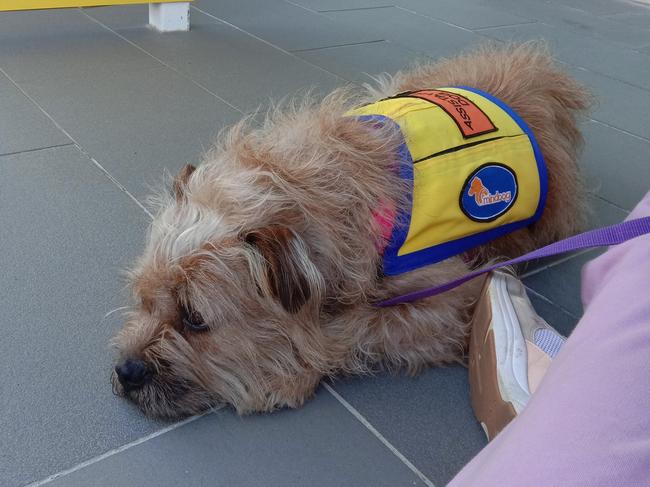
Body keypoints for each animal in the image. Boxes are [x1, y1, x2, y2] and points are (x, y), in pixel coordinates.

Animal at [110, 43, 588, 420]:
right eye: (144, 299)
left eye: (195, 319)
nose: (126, 371)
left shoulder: (449, 297)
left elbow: (359, 329)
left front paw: (292, 368)